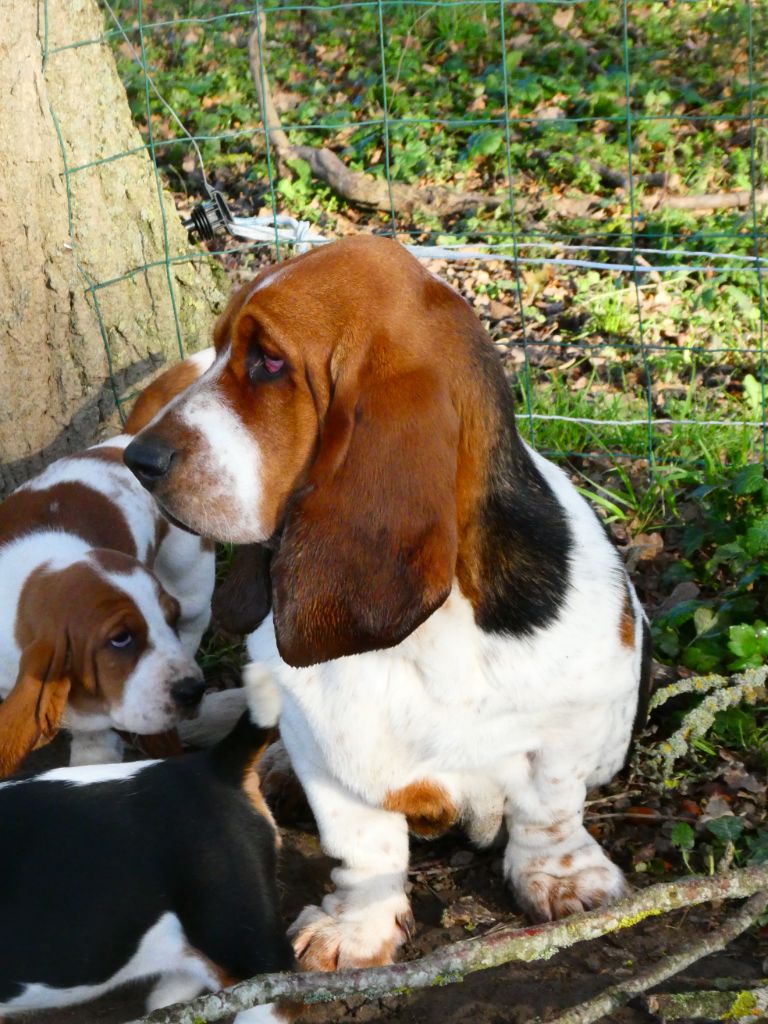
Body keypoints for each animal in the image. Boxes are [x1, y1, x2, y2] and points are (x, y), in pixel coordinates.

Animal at [124, 235, 651, 970]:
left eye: (269, 362)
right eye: (222, 347)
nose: (137, 459)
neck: (429, 637)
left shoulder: (570, 721)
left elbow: (547, 806)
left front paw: (563, 878)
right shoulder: (329, 750)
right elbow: (362, 845)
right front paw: (356, 928)